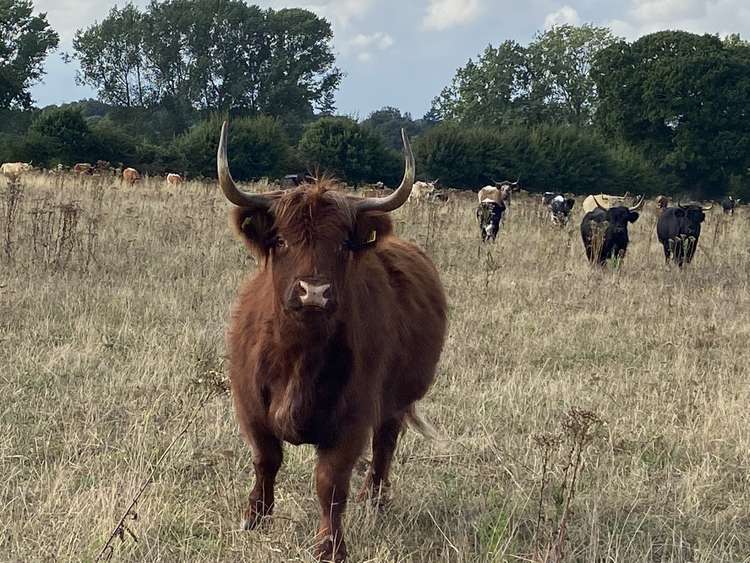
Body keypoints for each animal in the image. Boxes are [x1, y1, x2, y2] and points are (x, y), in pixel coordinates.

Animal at [220, 124, 450, 563]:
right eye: (281, 241)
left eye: (342, 244)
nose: (314, 292)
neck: (298, 355)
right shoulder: (250, 404)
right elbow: (265, 459)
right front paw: (254, 518)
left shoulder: (352, 417)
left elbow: (330, 482)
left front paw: (331, 546)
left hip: (396, 400)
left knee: (385, 445)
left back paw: (375, 499)